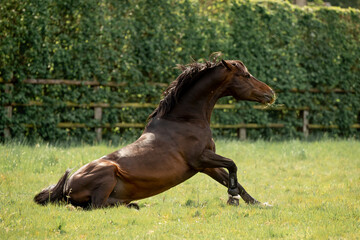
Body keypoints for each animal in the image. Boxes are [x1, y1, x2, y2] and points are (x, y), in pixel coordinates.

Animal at [34, 55, 276, 209]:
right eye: (246, 75)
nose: (271, 93)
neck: (184, 120)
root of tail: (66, 187)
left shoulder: (205, 165)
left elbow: (231, 179)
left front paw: (258, 203)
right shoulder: (200, 159)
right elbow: (233, 165)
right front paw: (233, 198)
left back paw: (133, 204)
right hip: (108, 173)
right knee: (95, 206)